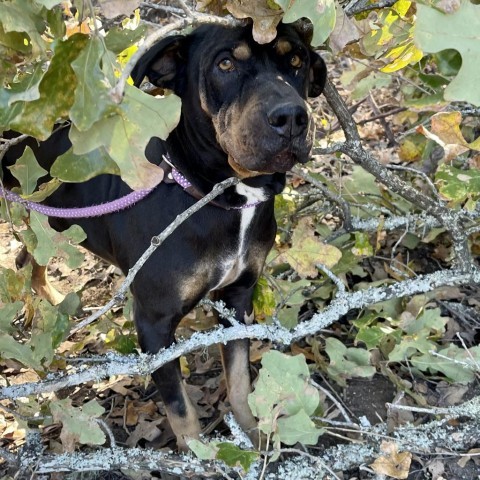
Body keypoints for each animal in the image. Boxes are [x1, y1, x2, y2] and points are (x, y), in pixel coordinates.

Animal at [0, 22, 326, 450]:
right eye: (225, 64)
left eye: (296, 60)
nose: (291, 117)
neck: (215, 192)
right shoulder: (154, 325)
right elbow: (182, 410)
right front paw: (199, 456)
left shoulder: (238, 298)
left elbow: (239, 380)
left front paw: (253, 438)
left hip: (46, 221)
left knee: (29, 260)